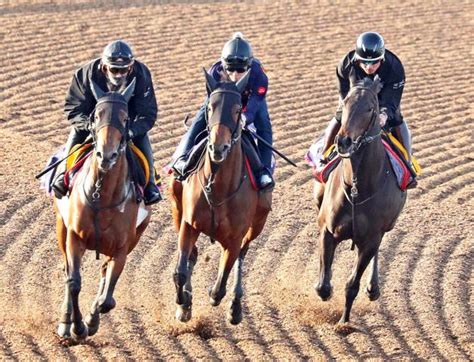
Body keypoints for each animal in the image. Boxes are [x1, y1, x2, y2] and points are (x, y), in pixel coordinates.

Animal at [55, 78, 152, 340]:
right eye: (97, 115)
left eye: (125, 117)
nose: (106, 155)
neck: (102, 195)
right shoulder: (74, 238)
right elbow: (73, 282)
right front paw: (76, 327)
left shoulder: (121, 248)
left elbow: (106, 299)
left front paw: (91, 319)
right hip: (61, 228)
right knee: (68, 272)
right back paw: (66, 322)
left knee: (104, 276)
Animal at [169, 70, 272, 326]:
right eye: (210, 107)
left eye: (237, 109)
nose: (218, 147)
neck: (218, 187)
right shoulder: (188, 224)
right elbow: (180, 271)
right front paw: (183, 303)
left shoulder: (235, 237)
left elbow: (221, 285)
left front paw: (216, 297)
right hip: (176, 208)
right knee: (192, 256)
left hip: (258, 223)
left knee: (242, 256)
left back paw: (235, 306)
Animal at [314, 75, 408, 326]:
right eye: (345, 103)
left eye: (370, 108)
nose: (344, 141)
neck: (359, 187)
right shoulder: (328, 230)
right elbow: (323, 286)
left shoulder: (371, 240)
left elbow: (352, 286)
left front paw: (343, 323)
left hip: (388, 225)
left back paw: (373, 287)